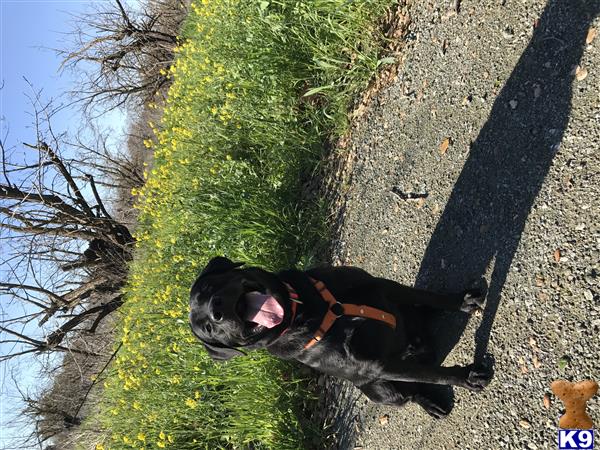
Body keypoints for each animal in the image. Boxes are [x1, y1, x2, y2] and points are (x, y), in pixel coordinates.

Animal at [189, 256, 492, 418]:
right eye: (208, 329)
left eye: (209, 287)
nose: (216, 312)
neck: (305, 315)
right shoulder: (376, 365)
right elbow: (432, 375)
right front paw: (467, 377)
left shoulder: (384, 287)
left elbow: (429, 296)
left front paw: (461, 302)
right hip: (383, 391)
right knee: (411, 391)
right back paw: (430, 404)